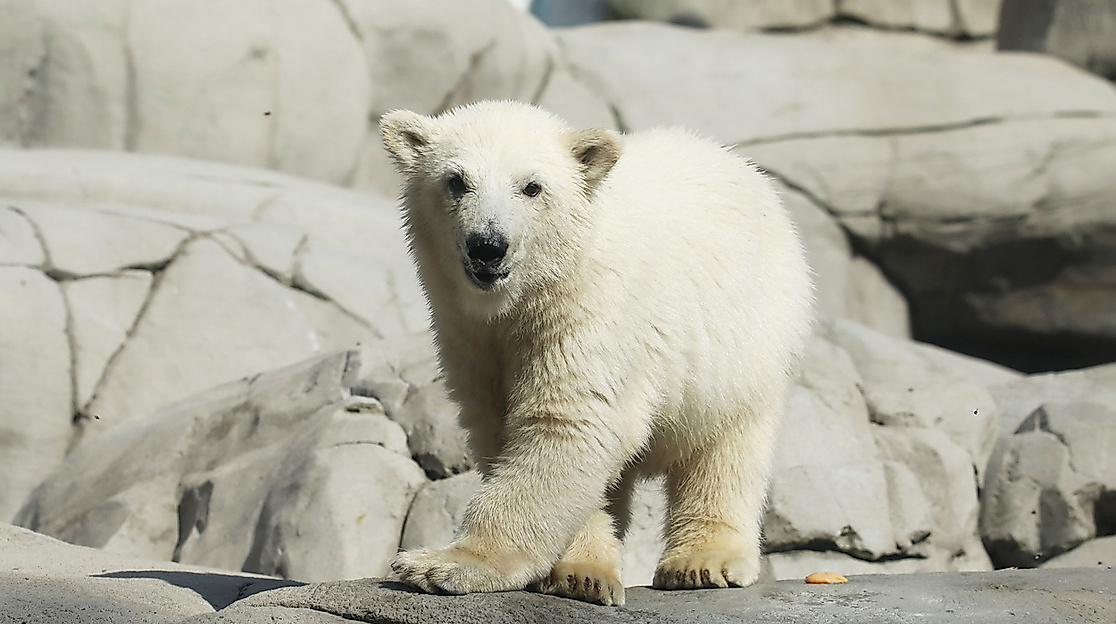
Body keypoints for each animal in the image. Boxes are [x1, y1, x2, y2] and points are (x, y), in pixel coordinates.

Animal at [380, 101, 813, 606]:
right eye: (455, 180)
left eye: (532, 186)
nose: (488, 246)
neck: (530, 296)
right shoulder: (470, 335)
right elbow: (508, 429)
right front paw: (580, 572)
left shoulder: (592, 310)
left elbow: (569, 422)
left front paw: (443, 565)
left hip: (746, 343)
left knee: (726, 445)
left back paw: (703, 563)